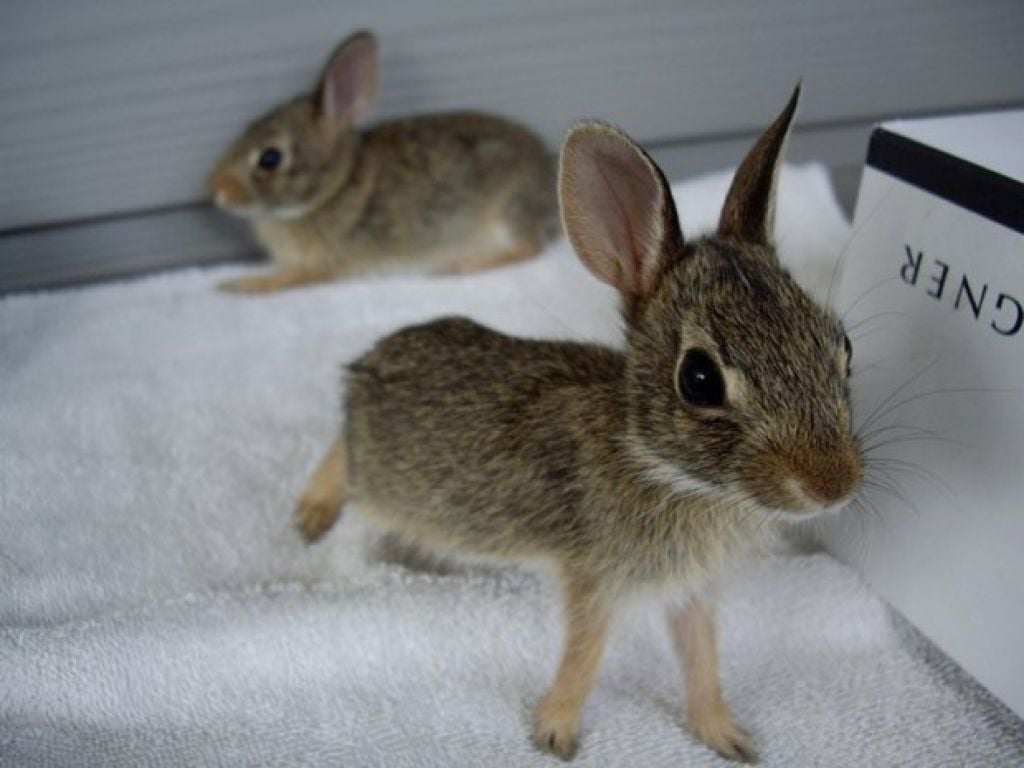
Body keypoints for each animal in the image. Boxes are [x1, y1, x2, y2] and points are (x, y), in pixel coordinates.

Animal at [207, 31, 558, 294]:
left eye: (270, 158)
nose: (216, 190)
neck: (334, 187)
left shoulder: (325, 263)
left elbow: (288, 278)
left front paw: (239, 284)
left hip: (508, 206)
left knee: (531, 246)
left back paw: (462, 265)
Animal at [295, 86, 863, 762]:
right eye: (699, 379)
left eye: (842, 345)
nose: (834, 484)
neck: (659, 464)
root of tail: (369, 366)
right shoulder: (594, 576)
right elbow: (584, 655)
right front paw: (556, 732)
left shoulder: (690, 590)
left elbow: (701, 654)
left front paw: (725, 736)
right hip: (381, 485)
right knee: (343, 461)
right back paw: (312, 515)